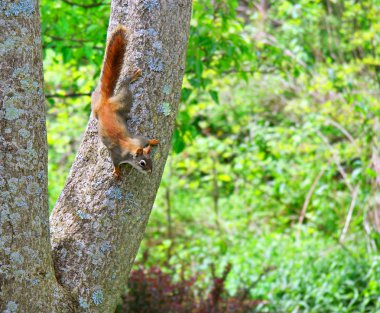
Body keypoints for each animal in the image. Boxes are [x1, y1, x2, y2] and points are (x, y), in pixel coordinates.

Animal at [91, 26, 159, 178]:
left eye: (151, 159)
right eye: (142, 163)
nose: (150, 171)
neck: (130, 147)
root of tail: (105, 104)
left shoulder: (138, 139)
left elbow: (145, 139)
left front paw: (153, 141)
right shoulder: (117, 155)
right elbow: (115, 162)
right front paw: (117, 171)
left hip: (122, 100)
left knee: (123, 86)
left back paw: (132, 77)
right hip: (121, 100)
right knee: (123, 86)